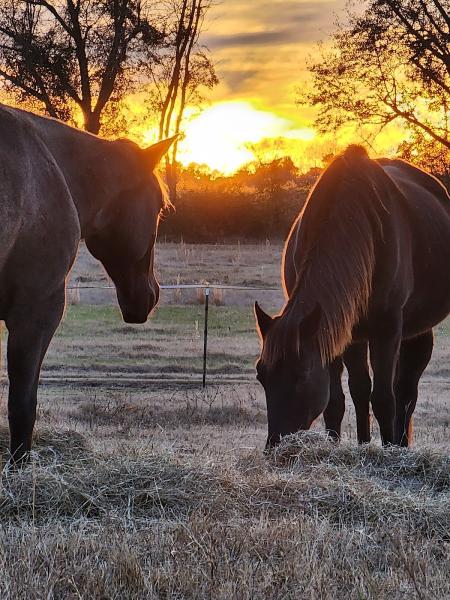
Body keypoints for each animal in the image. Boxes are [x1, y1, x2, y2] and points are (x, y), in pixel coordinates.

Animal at [255, 144, 450, 446]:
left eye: (301, 374)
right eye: (261, 375)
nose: (276, 446)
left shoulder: (387, 329)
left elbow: (384, 399)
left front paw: (388, 449)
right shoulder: (334, 330)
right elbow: (338, 400)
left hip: (412, 331)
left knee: (405, 391)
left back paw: (400, 445)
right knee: (367, 389)